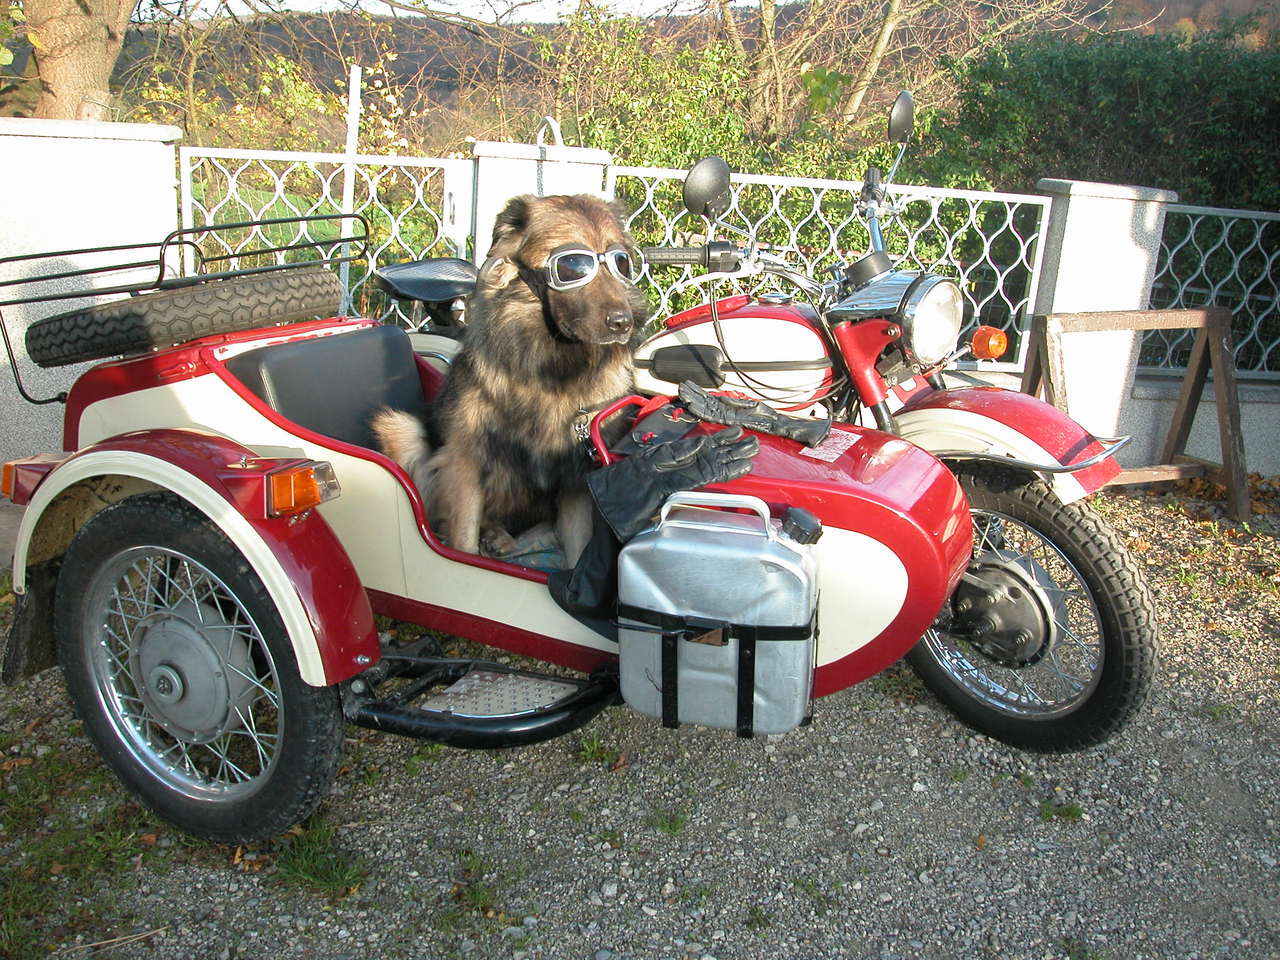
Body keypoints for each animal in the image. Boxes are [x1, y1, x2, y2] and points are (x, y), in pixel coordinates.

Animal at [373, 193, 645, 563]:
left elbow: (577, 552)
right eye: (573, 265)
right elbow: (463, 544)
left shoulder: (576, 479)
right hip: (400, 427)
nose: (623, 323)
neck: (550, 370)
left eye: (621, 262)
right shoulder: (467, 462)